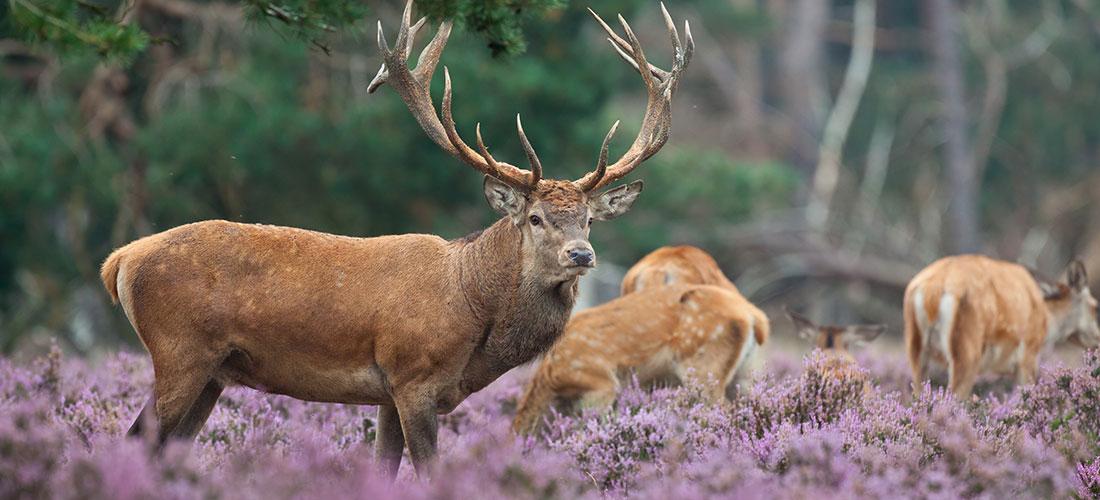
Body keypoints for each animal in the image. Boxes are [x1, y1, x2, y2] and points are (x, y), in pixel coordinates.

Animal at [99, 0, 690, 474]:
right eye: (536, 218)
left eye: (588, 219)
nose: (582, 254)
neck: (472, 307)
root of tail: (120, 260)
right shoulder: (413, 377)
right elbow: (428, 472)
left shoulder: (387, 393)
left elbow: (384, 469)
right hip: (180, 352)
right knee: (132, 440)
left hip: (214, 374)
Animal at [902, 256, 1100, 397]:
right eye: (1095, 306)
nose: (1097, 340)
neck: (1048, 320)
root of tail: (931, 293)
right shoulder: (1028, 354)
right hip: (966, 350)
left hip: (915, 349)